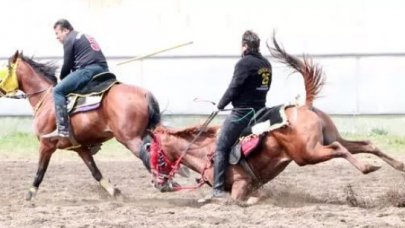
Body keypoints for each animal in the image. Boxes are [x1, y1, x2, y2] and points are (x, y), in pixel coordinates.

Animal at [0, 51, 161, 200]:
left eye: (7, 67)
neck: (47, 100)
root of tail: (145, 93)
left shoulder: (46, 145)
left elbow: (40, 171)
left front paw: (30, 194)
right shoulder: (80, 147)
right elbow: (95, 171)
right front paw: (114, 192)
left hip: (130, 139)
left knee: (148, 157)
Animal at [142, 37, 404, 203]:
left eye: (154, 153)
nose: (157, 183)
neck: (204, 150)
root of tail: (305, 105)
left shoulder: (241, 185)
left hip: (308, 153)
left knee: (339, 148)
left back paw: (367, 167)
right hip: (327, 138)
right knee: (364, 144)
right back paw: (395, 165)